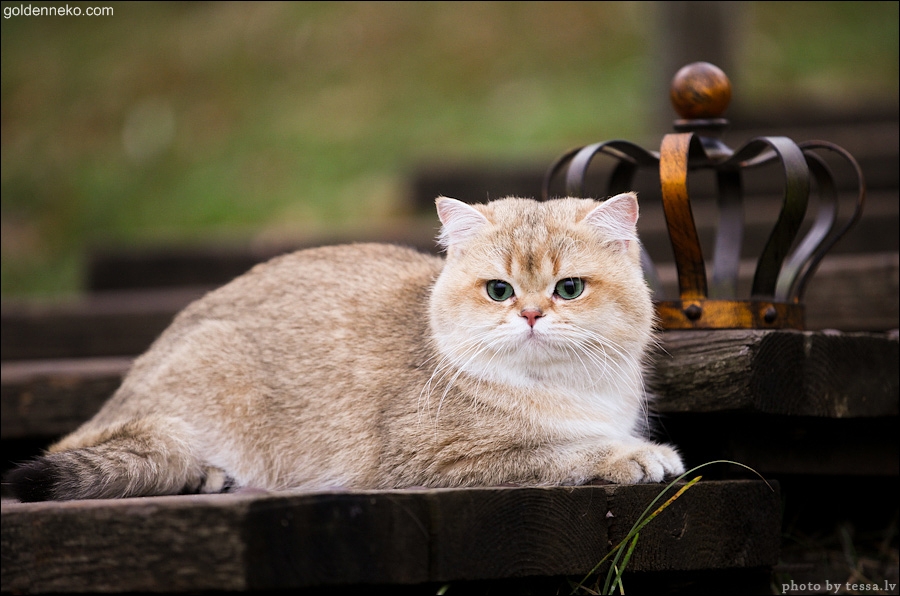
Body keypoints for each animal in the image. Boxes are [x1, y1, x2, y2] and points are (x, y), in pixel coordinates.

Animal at [5, 193, 684, 500]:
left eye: (569, 288)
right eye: (499, 290)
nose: (533, 314)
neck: (564, 389)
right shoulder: (427, 464)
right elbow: (555, 451)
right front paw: (633, 455)